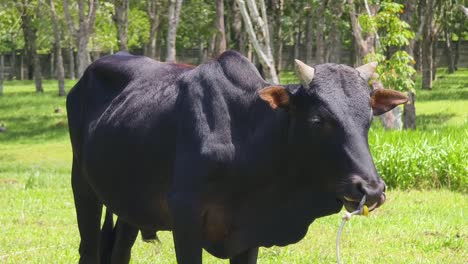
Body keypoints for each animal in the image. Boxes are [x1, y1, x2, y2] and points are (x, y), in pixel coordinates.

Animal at [67, 50, 408, 262]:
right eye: (318, 120)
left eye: (368, 118)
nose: (371, 189)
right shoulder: (185, 221)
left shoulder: (249, 233)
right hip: (82, 188)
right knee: (89, 250)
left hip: (129, 204)